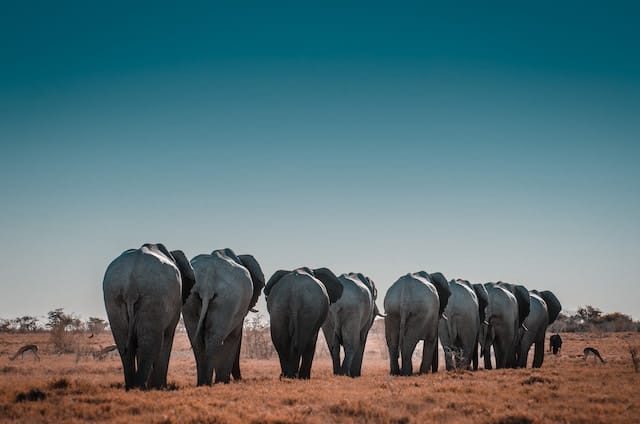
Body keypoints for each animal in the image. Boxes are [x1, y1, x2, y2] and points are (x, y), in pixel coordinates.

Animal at [103, 243, 195, 390]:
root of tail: (131, 284)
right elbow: (168, 337)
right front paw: (161, 387)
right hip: (155, 295)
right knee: (151, 343)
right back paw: (142, 388)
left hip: (113, 296)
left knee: (125, 345)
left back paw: (132, 387)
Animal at [182, 248, 264, 385]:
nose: (240, 379)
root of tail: (207, 284)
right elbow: (235, 336)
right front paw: (225, 381)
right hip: (228, 299)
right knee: (216, 338)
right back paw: (212, 383)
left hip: (191, 298)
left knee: (197, 339)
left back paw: (202, 383)